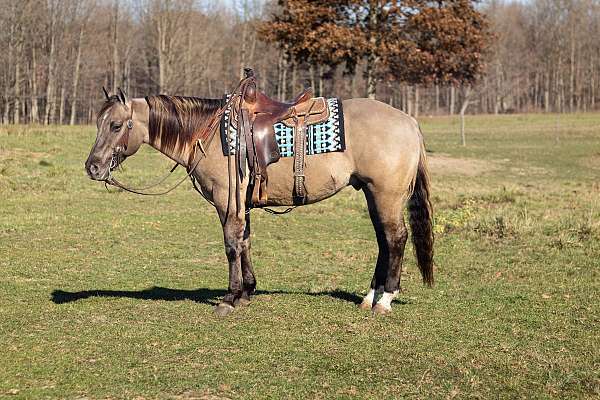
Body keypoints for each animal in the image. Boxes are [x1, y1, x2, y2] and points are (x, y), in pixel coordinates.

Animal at [84, 86, 434, 316]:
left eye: (116, 125)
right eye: (99, 123)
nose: (93, 167)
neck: (207, 133)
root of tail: (409, 121)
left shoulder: (226, 201)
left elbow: (231, 245)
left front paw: (230, 298)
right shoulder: (241, 204)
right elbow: (245, 242)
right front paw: (247, 292)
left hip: (386, 195)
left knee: (396, 238)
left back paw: (385, 300)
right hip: (373, 194)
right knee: (383, 241)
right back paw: (370, 296)